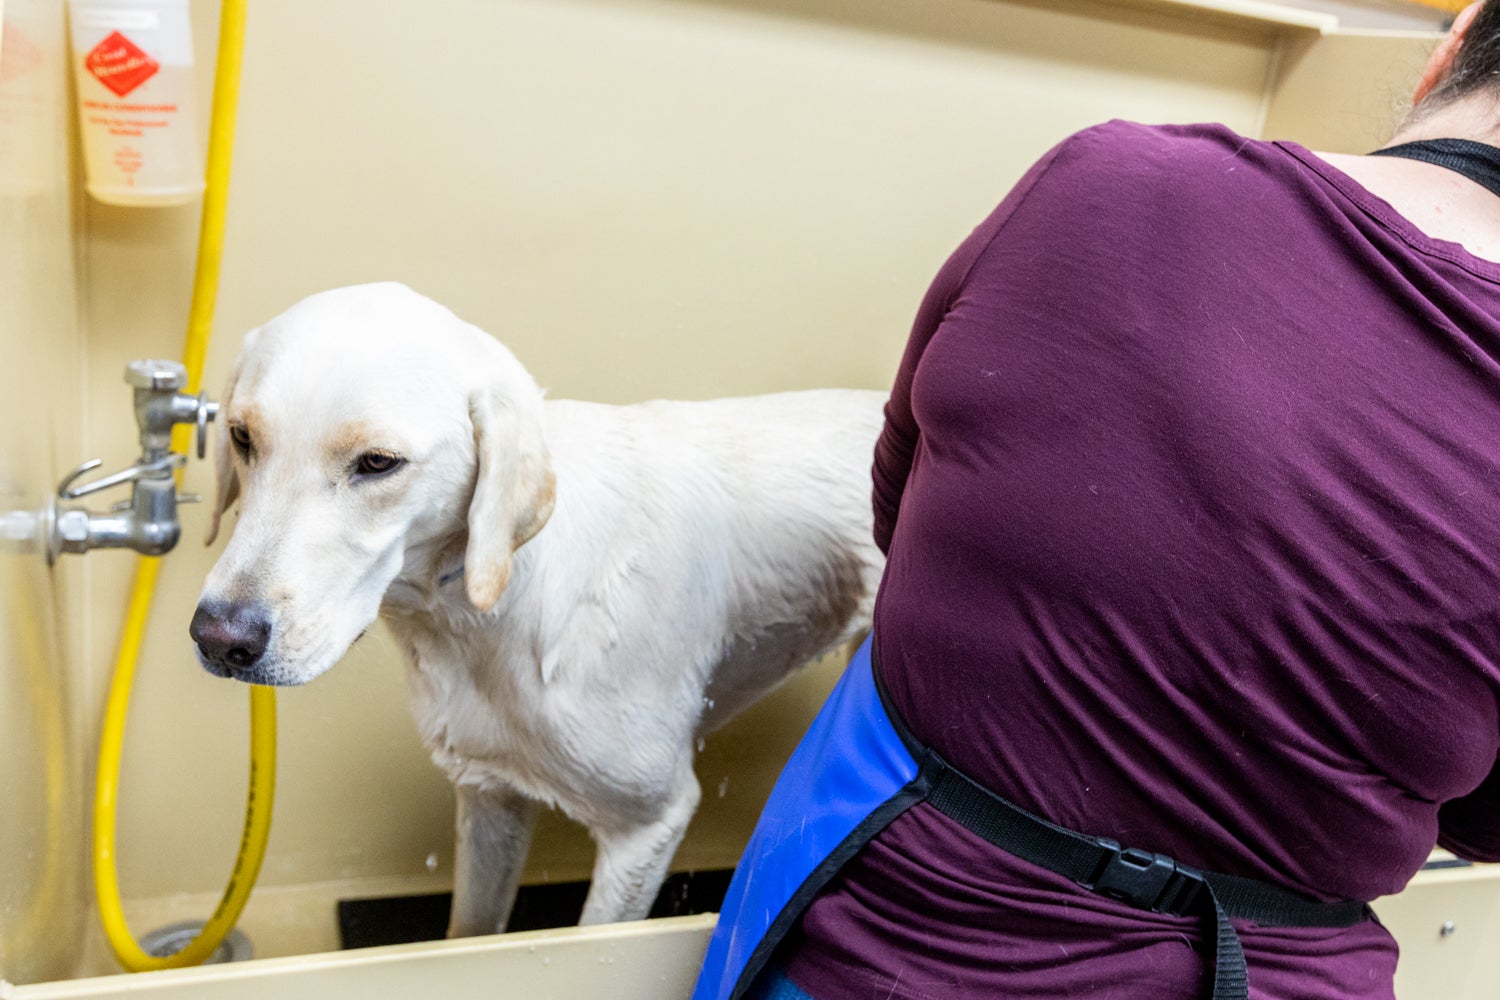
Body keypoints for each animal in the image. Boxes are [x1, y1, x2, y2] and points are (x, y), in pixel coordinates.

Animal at [192, 283, 882, 941]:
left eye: (378, 463)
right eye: (242, 437)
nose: (219, 637)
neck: (487, 606)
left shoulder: (646, 827)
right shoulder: (490, 794)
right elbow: (469, 929)